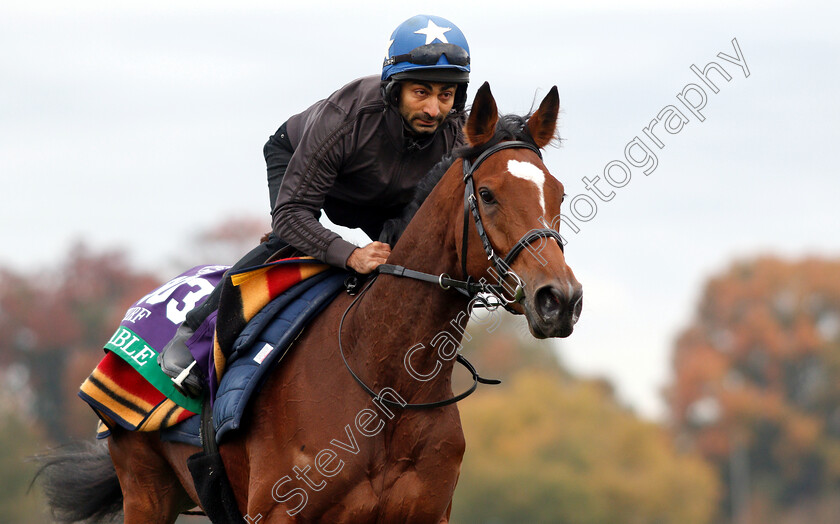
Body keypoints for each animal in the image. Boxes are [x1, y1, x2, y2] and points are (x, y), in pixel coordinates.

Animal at [36, 81, 580, 520]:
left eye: (558, 193)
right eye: (487, 194)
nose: (559, 299)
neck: (386, 384)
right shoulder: (277, 512)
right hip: (145, 487)